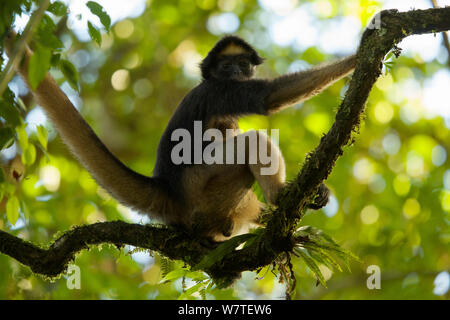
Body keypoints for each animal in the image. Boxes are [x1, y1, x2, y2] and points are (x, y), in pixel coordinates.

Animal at [3, 33, 356, 241]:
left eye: (243, 64)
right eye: (226, 66)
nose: (235, 72)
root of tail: (168, 188)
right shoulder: (218, 90)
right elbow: (269, 97)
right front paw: (362, 51)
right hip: (200, 187)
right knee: (251, 140)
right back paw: (279, 197)